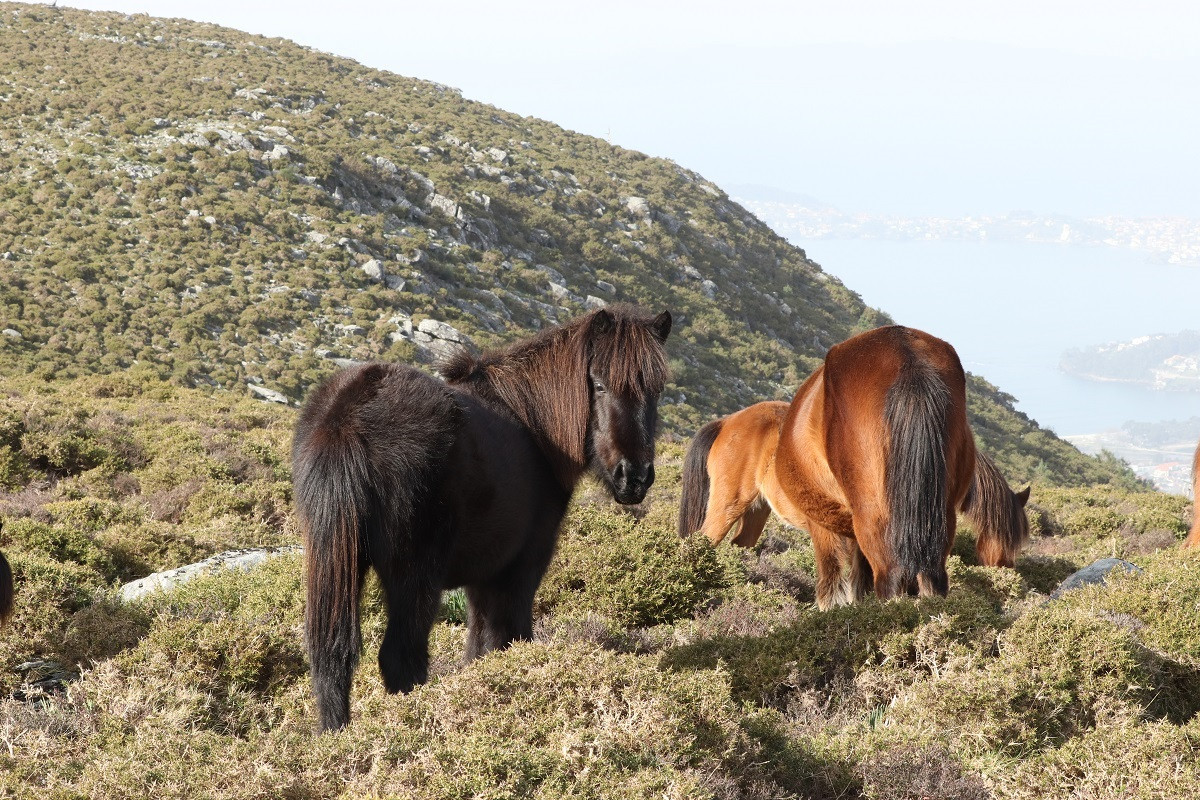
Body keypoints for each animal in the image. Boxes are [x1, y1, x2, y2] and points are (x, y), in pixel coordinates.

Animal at [293, 305, 671, 731]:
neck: (533, 423)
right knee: (401, 658)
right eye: (600, 384)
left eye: (657, 390)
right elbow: (509, 637)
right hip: (415, 577)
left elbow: (478, 647)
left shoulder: (482, 577)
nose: (633, 477)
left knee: (331, 657)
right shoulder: (521, 566)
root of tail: (348, 417)